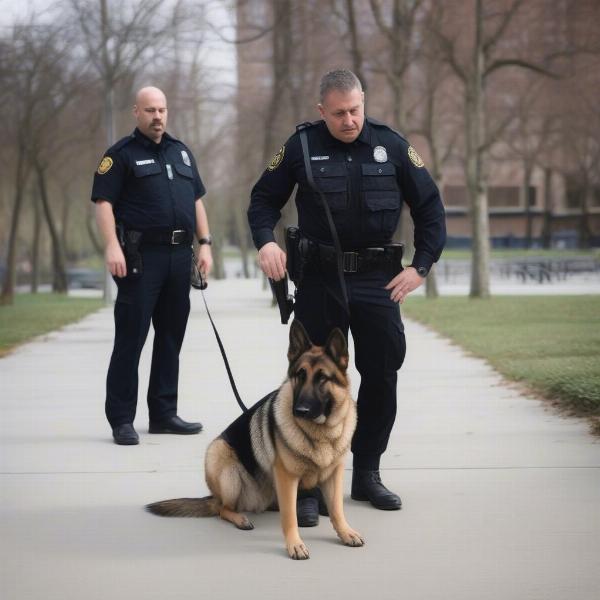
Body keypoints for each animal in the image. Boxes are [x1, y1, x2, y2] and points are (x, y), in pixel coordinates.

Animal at [149, 322, 366, 560]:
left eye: (322, 378)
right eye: (300, 376)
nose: (300, 410)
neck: (320, 432)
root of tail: (213, 496)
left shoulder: (333, 475)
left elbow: (337, 510)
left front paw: (346, 532)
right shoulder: (287, 477)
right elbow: (290, 517)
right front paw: (295, 544)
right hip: (223, 459)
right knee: (222, 509)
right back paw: (240, 518)